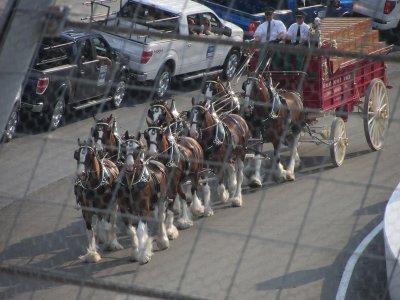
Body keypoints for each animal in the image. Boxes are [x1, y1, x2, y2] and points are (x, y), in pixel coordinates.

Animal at [115, 131, 170, 264]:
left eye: (137, 148)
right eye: (123, 148)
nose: (129, 166)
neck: (131, 184)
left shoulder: (143, 209)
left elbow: (140, 231)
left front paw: (143, 255)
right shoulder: (124, 210)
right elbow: (131, 231)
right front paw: (135, 253)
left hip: (162, 200)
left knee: (160, 218)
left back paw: (163, 241)